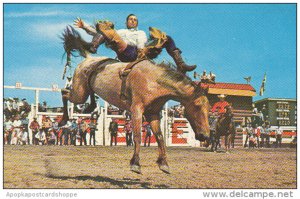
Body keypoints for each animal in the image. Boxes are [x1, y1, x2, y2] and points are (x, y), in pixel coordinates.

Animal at [59, 25, 211, 173]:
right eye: (197, 106)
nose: (206, 136)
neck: (154, 81)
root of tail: (88, 58)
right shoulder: (136, 109)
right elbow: (137, 136)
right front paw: (135, 164)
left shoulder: (153, 113)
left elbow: (160, 137)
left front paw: (163, 163)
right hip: (79, 93)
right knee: (64, 93)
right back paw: (63, 119)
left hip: (84, 91)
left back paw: (89, 106)